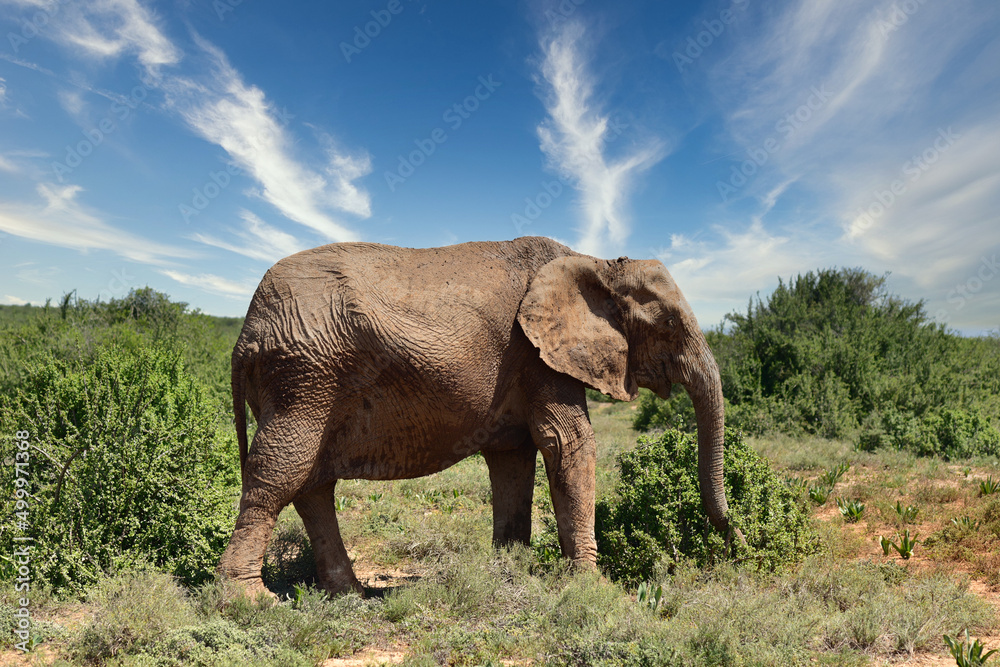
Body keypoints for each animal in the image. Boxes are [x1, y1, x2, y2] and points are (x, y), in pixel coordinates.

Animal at [217, 237, 736, 596]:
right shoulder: (537, 355)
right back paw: (249, 601)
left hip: (305, 380)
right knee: (278, 472)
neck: (596, 262)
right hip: (304, 377)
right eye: (669, 324)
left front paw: (514, 569)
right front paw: (593, 587)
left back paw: (349, 596)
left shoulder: (529, 362)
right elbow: (568, 443)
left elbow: (514, 459)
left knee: (312, 484)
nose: (732, 540)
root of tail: (244, 333)